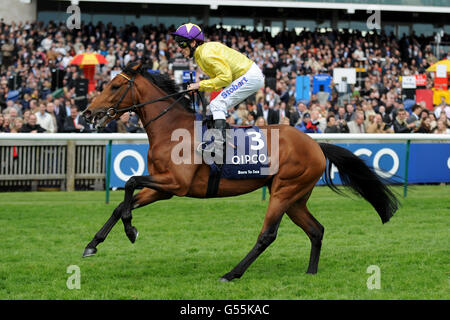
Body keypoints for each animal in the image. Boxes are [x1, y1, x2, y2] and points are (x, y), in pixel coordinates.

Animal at [81, 62, 398, 280]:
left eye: (114, 86)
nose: (87, 113)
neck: (171, 129)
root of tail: (315, 144)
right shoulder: (163, 188)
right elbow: (122, 203)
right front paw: (94, 244)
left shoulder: (175, 184)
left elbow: (130, 182)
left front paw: (131, 230)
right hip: (295, 197)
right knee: (316, 230)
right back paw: (310, 273)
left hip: (284, 191)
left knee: (267, 235)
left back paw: (232, 273)